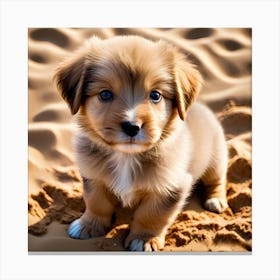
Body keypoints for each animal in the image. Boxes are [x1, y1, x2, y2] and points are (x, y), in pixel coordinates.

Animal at [54, 34, 228, 252]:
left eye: (155, 95)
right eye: (105, 94)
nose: (132, 127)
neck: (126, 157)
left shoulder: (170, 187)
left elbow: (152, 215)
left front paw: (144, 238)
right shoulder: (94, 176)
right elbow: (96, 202)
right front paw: (89, 225)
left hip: (216, 158)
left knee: (217, 180)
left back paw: (216, 200)